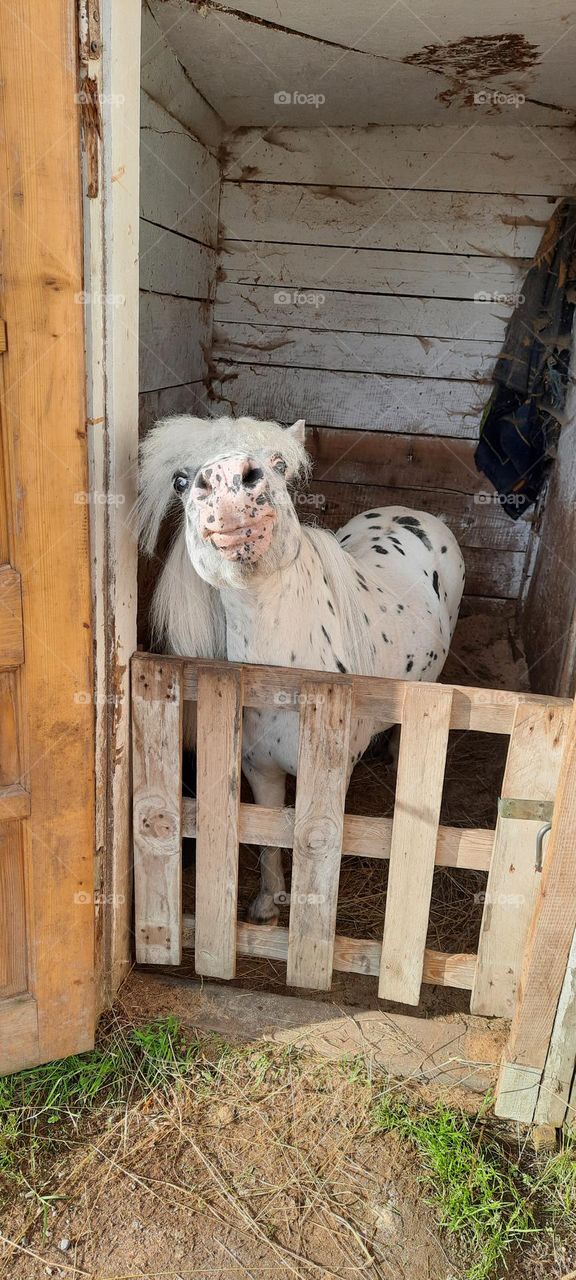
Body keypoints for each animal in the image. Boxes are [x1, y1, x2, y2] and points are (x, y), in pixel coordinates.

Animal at [137, 414, 465, 924]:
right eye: (180, 480)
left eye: (279, 465)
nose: (229, 481)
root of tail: (413, 511)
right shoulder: (260, 772)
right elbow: (268, 836)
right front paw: (267, 907)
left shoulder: (327, 780)